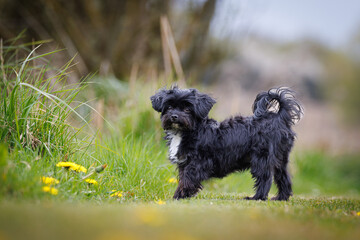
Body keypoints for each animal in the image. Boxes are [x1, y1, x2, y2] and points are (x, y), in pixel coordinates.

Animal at [150, 86, 302, 201]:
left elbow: (188, 179)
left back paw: (257, 197)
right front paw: (183, 195)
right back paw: (281, 198)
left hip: (261, 158)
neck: (188, 131)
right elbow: (184, 178)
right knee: (283, 177)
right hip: (280, 158)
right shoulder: (185, 163)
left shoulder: (197, 163)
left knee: (265, 178)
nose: (174, 116)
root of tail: (279, 118)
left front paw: (179, 195)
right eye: (169, 107)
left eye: (187, 109)